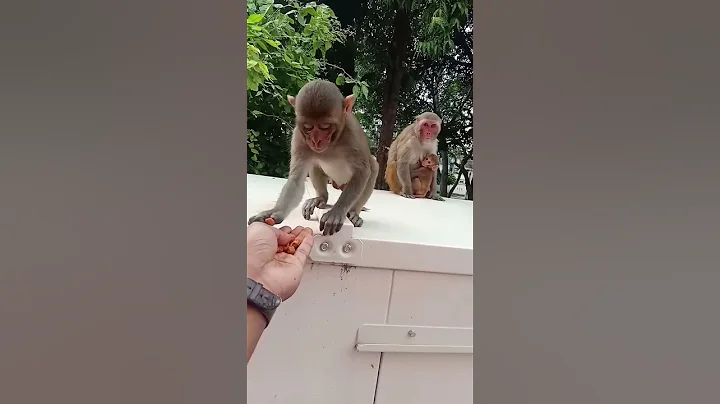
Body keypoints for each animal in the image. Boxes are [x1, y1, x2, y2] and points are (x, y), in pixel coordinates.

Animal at [247, 80, 378, 236]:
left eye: (325, 126)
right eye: (308, 127)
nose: (316, 141)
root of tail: (340, 184)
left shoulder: (353, 136)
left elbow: (362, 172)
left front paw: (337, 212)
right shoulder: (299, 137)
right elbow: (296, 180)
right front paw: (274, 212)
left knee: (373, 166)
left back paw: (354, 213)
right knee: (315, 165)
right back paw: (320, 198)